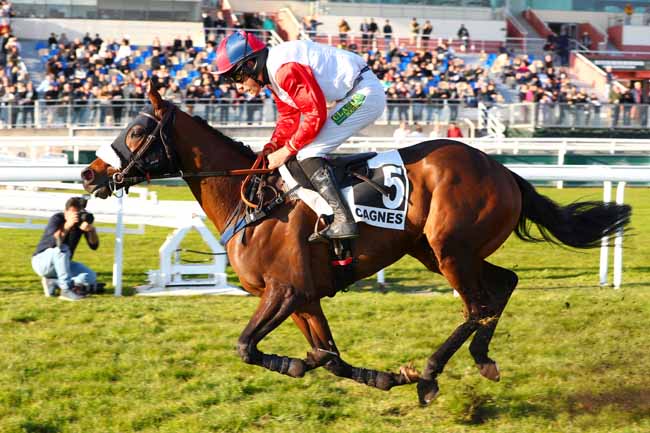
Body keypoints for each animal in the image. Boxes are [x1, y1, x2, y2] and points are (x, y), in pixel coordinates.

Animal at [79, 86, 628, 404]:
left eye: (136, 131)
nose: (89, 173)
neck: (253, 202)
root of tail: (503, 169)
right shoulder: (304, 299)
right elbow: (331, 356)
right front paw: (381, 377)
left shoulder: (284, 291)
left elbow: (247, 347)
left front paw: (301, 363)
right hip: (439, 252)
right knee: (502, 287)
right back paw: (480, 358)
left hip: (451, 248)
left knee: (477, 305)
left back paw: (430, 375)